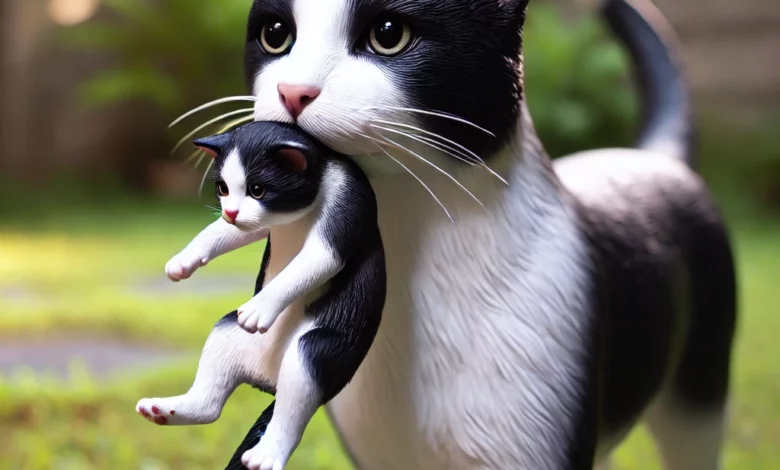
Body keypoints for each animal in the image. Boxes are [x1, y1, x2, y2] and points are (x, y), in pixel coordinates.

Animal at [137, 121, 386, 470]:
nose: (229, 211)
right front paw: (183, 261)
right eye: (223, 189)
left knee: (292, 407)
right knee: (210, 405)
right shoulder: (250, 221)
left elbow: (310, 264)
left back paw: (267, 454)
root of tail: (267, 380)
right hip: (227, 332)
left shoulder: (347, 201)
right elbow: (220, 232)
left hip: (315, 352)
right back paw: (166, 410)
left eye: (258, 189)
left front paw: (259, 309)